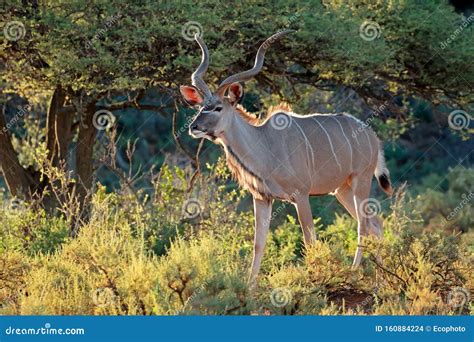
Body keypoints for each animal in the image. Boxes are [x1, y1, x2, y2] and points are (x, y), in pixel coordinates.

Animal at [179, 32, 392, 284]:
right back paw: (380, 275)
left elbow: (310, 240)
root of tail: (373, 137)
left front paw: (314, 278)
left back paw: (355, 271)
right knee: (375, 224)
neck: (266, 145)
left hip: (361, 180)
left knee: (363, 226)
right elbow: (258, 244)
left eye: (218, 108)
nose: (194, 127)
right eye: (201, 107)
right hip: (342, 189)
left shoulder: (301, 195)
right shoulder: (261, 198)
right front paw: (249, 286)